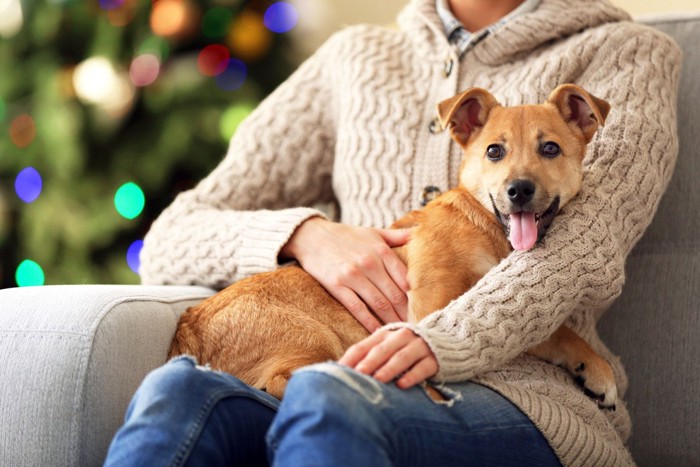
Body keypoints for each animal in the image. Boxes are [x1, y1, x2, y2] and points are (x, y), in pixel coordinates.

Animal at [170, 84, 616, 410]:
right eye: (494, 151)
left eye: (550, 148)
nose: (519, 190)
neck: (486, 227)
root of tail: (190, 329)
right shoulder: (433, 299)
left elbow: (554, 332)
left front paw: (596, 371)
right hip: (311, 335)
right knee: (285, 379)